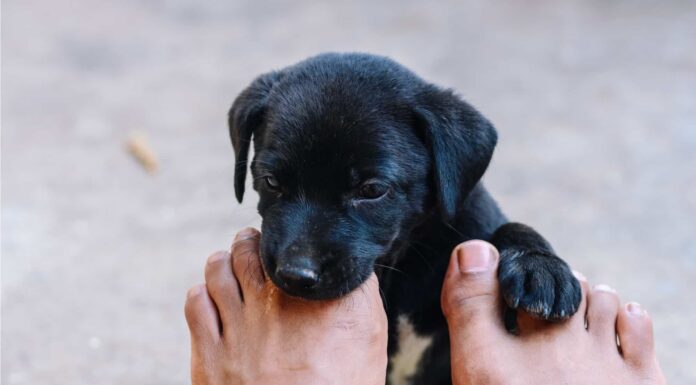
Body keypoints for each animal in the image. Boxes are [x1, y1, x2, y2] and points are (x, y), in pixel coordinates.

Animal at [230, 52, 580, 382]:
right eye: (271, 181)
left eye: (372, 189)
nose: (295, 275)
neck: (402, 270)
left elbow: (512, 228)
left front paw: (541, 268)